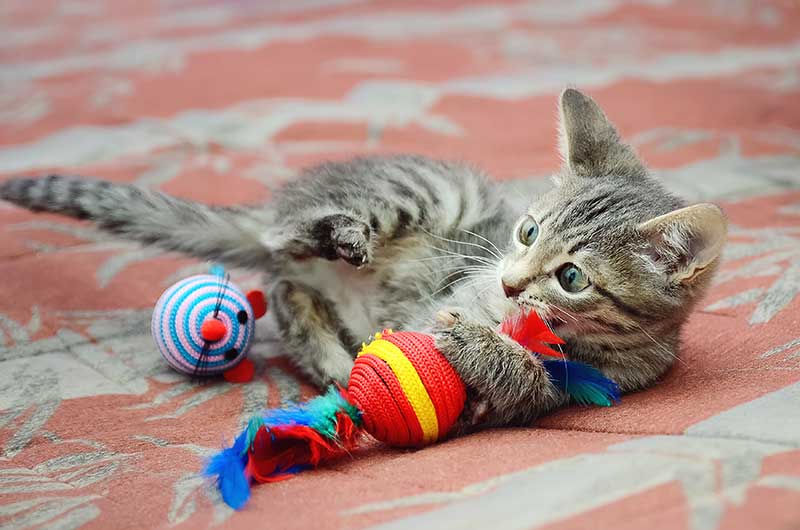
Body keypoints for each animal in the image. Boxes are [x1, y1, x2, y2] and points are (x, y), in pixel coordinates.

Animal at [0, 88, 728, 426]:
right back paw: (339, 237)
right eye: (525, 232)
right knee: (283, 239)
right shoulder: (462, 281)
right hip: (426, 194)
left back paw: (332, 358)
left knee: (285, 290)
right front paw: (475, 330)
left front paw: (485, 357)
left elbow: (523, 381)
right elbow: (453, 315)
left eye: (571, 276)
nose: (511, 283)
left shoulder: (579, 386)